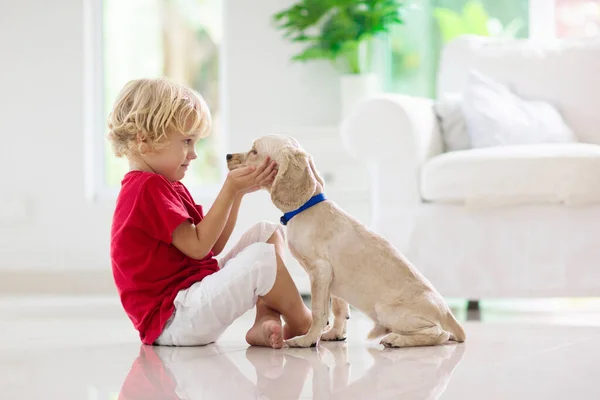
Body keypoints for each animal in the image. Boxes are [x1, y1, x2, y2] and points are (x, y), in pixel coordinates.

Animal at [227, 134, 466, 346]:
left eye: (254, 151)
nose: (228, 155)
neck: (306, 207)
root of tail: (450, 315)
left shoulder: (320, 271)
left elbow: (319, 311)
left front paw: (306, 340)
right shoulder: (333, 280)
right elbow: (339, 310)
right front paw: (335, 334)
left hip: (388, 311)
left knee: (440, 334)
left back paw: (396, 339)